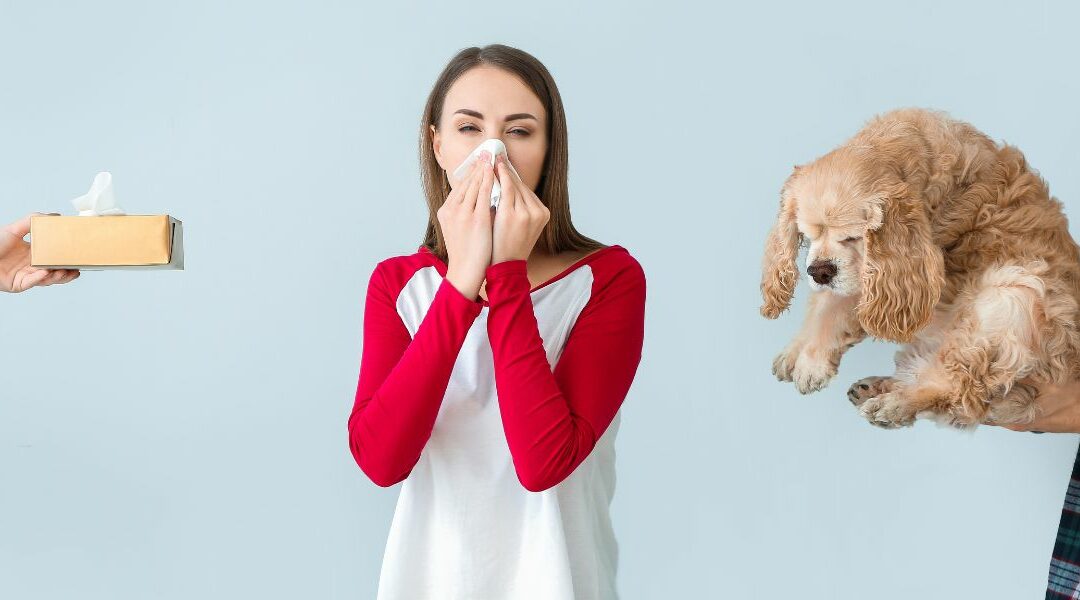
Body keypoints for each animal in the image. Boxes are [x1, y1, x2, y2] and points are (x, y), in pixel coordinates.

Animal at [760, 107, 1080, 427]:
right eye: (806, 235)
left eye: (853, 237)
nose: (820, 272)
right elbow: (824, 305)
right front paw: (795, 350)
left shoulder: (885, 272)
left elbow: (834, 307)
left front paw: (810, 365)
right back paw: (878, 387)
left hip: (1012, 293)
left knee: (957, 388)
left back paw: (894, 403)